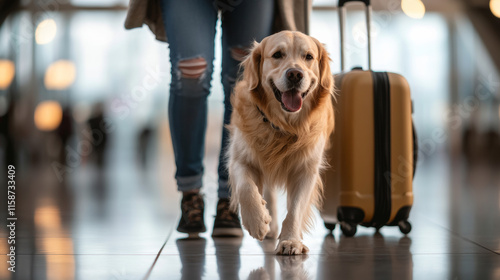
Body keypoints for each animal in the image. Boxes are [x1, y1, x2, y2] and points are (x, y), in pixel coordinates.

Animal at [229, 30, 334, 254]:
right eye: (277, 55)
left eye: (308, 57)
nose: (295, 74)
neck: (282, 126)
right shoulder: (240, 159)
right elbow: (246, 188)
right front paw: (257, 221)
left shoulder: (306, 169)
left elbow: (296, 208)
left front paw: (290, 240)